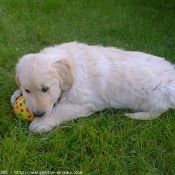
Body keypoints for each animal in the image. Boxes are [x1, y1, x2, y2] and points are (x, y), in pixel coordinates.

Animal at [10, 41, 175, 133]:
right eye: (27, 90)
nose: (38, 114)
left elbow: (61, 110)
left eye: (46, 89)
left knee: (158, 111)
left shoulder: (87, 103)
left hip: (156, 96)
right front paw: (16, 94)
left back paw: (135, 115)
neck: (72, 70)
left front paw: (40, 124)